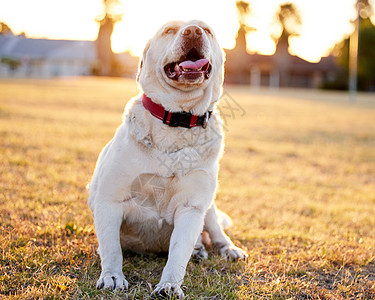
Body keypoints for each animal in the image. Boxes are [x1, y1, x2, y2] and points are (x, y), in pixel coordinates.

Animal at [87, 19, 247, 298]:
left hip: (209, 207)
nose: (193, 31)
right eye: (169, 30)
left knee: (215, 231)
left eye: (207, 30)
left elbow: (178, 252)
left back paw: (224, 249)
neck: (178, 119)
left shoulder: (192, 206)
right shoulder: (109, 199)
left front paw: (170, 284)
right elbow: (112, 248)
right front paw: (112, 277)